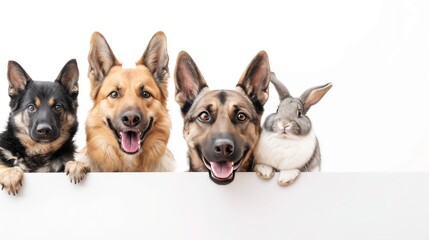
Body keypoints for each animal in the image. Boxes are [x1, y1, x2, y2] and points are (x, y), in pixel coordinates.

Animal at [0, 59, 87, 195]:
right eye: (31, 107)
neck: (38, 152)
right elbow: (2, 165)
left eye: (58, 107)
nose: (44, 130)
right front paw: (10, 173)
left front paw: (76, 164)